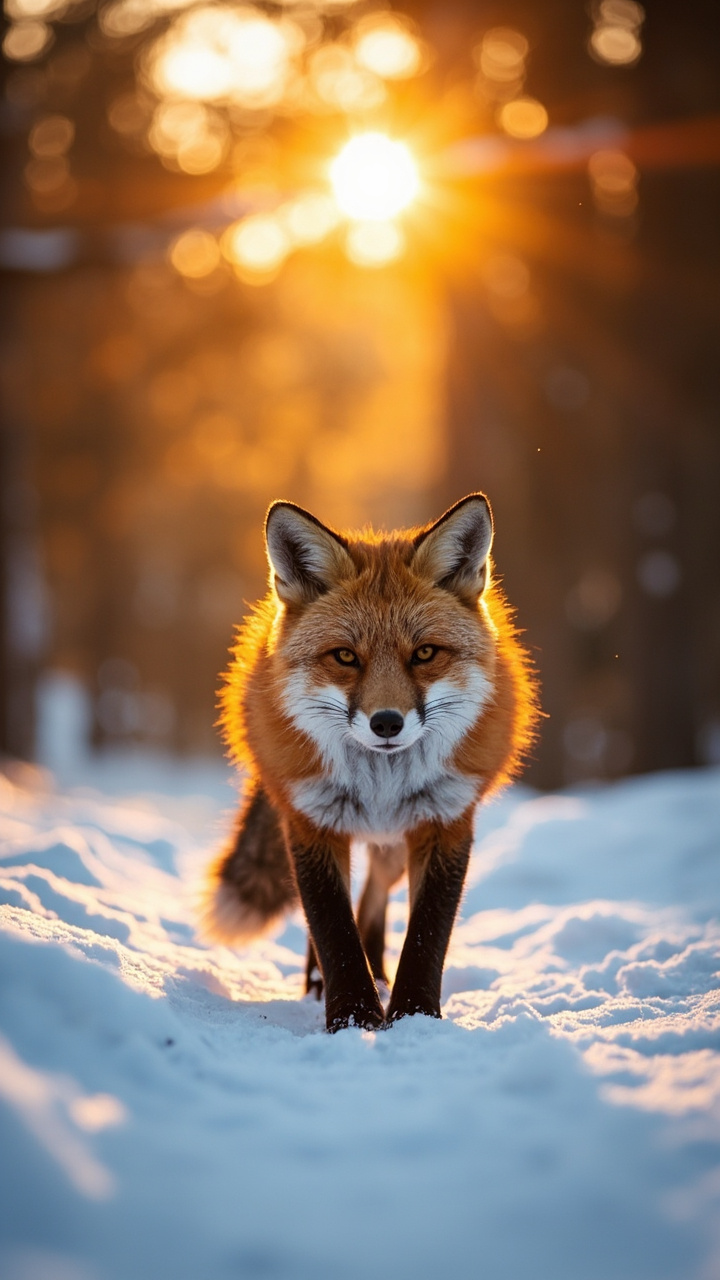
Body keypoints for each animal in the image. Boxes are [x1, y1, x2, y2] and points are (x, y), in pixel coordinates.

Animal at [202, 493, 539, 1032]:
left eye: (424, 653)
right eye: (345, 656)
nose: (386, 723)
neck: (381, 784)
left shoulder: (445, 821)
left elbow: (426, 934)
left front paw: (413, 1015)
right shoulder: (311, 822)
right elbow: (333, 928)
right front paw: (353, 1016)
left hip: (394, 845)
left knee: (375, 893)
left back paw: (379, 969)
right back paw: (320, 984)